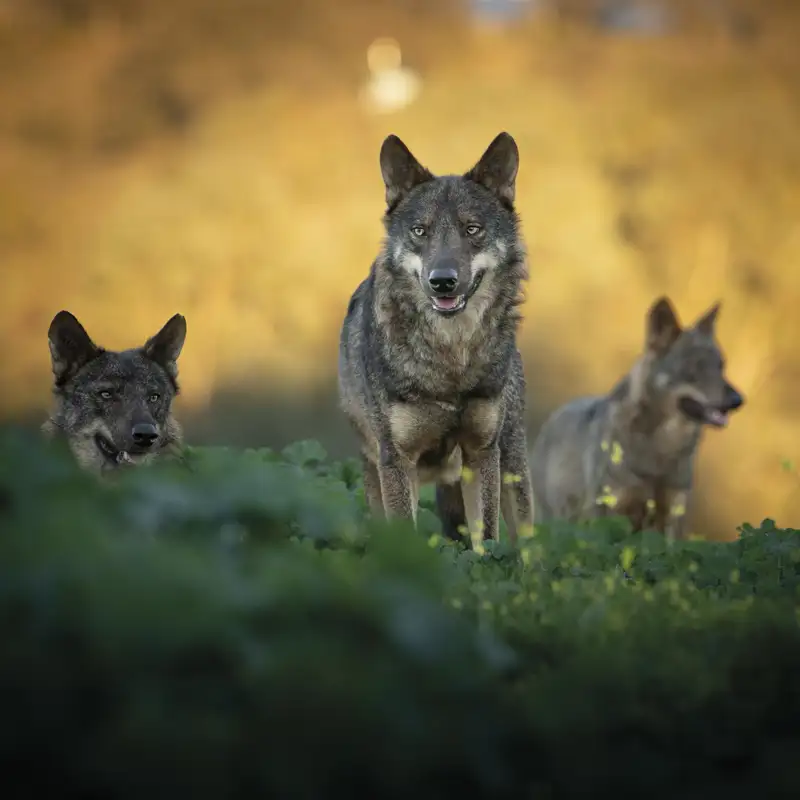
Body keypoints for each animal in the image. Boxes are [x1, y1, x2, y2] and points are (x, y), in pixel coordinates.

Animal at [336, 133, 532, 544]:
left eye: (472, 229)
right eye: (420, 231)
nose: (442, 281)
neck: (450, 356)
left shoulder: (481, 453)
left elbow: (488, 540)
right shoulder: (398, 462)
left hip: (511, 466)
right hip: (375, 475)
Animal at [532, 296, 744, 540]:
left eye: (721, 366)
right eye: (695, 367)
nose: (738, 400)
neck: (662, 449)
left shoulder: (671, 518)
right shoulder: (608, 515)